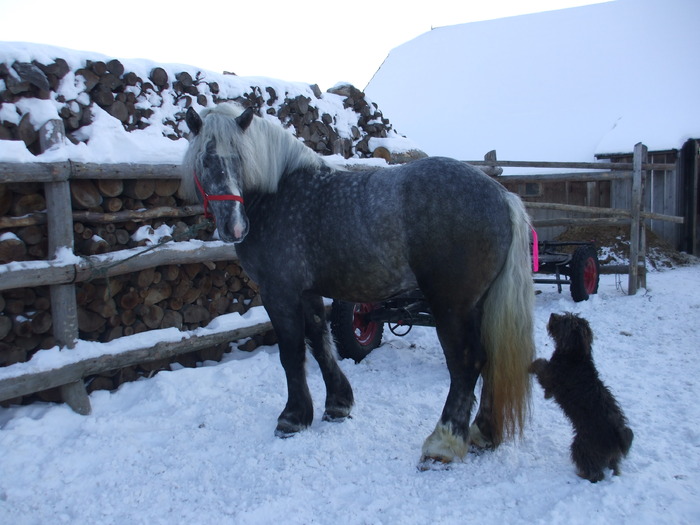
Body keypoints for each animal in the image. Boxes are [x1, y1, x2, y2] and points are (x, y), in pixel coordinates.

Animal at [532, 312, 636, 484]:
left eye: (565, 321)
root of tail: (617, 436)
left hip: (582, 445)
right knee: (613, 467)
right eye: (566, 315)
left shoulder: (551, 376)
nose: (553, 314)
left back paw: (583, 475)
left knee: (596, 473)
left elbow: (541, 364)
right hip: (609, 456)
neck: (575, 355)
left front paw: (531, 364)